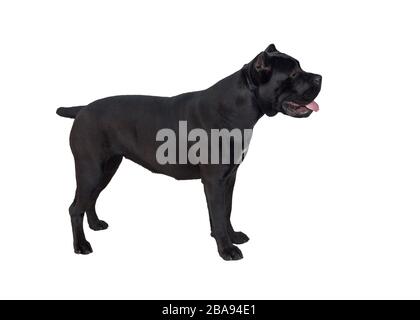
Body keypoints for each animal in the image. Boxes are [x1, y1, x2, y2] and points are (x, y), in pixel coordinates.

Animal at [56, 44, 322, 260]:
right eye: (294, 74)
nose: (319, 77)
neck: (238, 107)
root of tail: (82, 109)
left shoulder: (229, 178)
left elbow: (226, 211)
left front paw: (231, 236)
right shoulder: (214, 180)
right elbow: (218, 213)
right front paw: (227, 250)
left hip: (107, 168)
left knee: (90, 199)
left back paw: (95, 225)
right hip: (91, 169)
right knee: (75, 207)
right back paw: (81, 245)